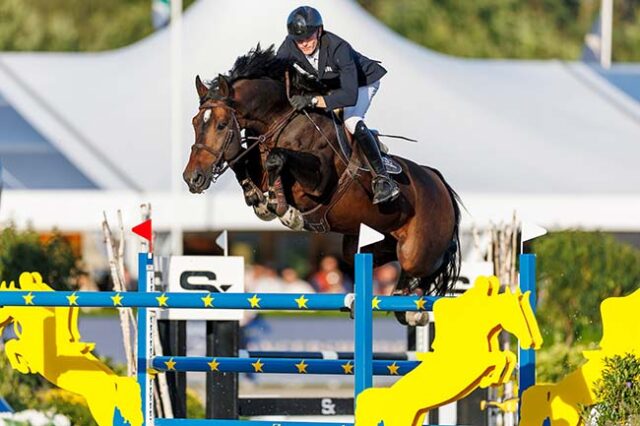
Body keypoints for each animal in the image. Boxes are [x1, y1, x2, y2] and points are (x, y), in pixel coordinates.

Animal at [0, 272, 143, 426]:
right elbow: (12, 345)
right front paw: (25, 366)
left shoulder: (31, 349)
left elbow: (11, 345)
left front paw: (24, 367)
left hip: (100, 407)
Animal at [182, 45, 462, 324]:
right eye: (195, 122)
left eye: (221, 125)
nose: (192, 178)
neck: (280, 122)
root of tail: (437, 180)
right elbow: (240, 160)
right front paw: (258, 199)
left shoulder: (319, 182)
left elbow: (277, 159)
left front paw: (284, 210)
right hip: (366, 242)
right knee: (382, 257)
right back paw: (404, 298)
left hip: (417, 250)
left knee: (427, 264)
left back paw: (414, 308)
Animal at [355, 276, 543, 426]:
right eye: (521, 314)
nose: (534, 341)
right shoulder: (477, 361)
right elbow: (499, 359)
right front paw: (490, 379)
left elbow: (507, 357)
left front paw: (495, 378)